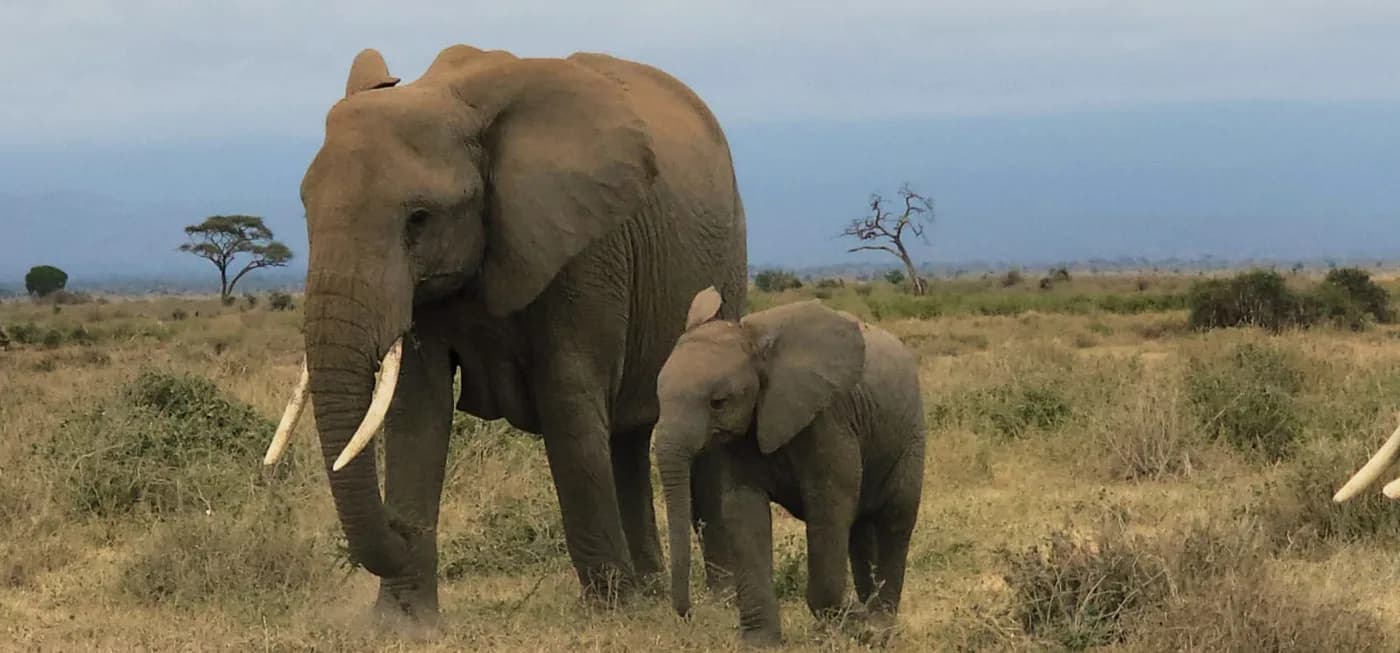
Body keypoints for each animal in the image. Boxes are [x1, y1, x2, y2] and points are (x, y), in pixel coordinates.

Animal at [259, 44, 747, 623]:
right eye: (306, 211)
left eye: (419, 218)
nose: (400, 531)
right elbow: (416, 409)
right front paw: (403, 624)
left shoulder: (584, 248)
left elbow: (567, 399)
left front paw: (610, 614)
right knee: (626, 436)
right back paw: (652, 591)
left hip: (729, 255)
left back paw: (715, 597)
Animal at [653, 288, 927, 646]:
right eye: (658, 397)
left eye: (718, 403)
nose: (689, 614)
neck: (753, 341)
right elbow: (743, 511)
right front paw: (759, 643)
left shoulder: (828, 420)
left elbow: (830, 502)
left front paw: (851, 622)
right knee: (860, 529)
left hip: (910, 435)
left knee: (895, 519)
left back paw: (878, 626)